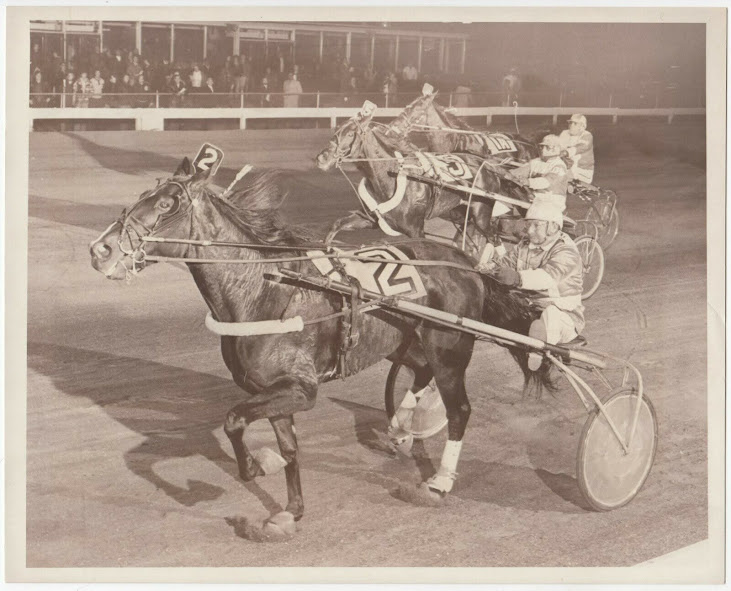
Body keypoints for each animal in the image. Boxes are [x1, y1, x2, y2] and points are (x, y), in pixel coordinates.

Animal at [88, 156, 548, 540]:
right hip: (406, 339)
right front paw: (290, 510)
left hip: (449, 346)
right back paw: (400, 429)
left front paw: (257, 465)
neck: (265, 289)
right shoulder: (272, 389)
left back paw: (438, 483)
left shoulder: (300, 389)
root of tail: (465, 261)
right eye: (142, 196)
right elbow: (288, 448)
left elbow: (234, 420)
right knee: (420, 373)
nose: (100, 250)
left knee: (459, 410)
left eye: (167, 203)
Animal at [314, 103, 532, 254]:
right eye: (337, 130)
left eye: (351, 133)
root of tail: (487, 165)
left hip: (481, 213)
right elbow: (337, 225)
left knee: (494, 238)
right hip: (460, 213)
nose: (322, 158)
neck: (391, 176)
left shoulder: (416, 230)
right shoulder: (371, 218)